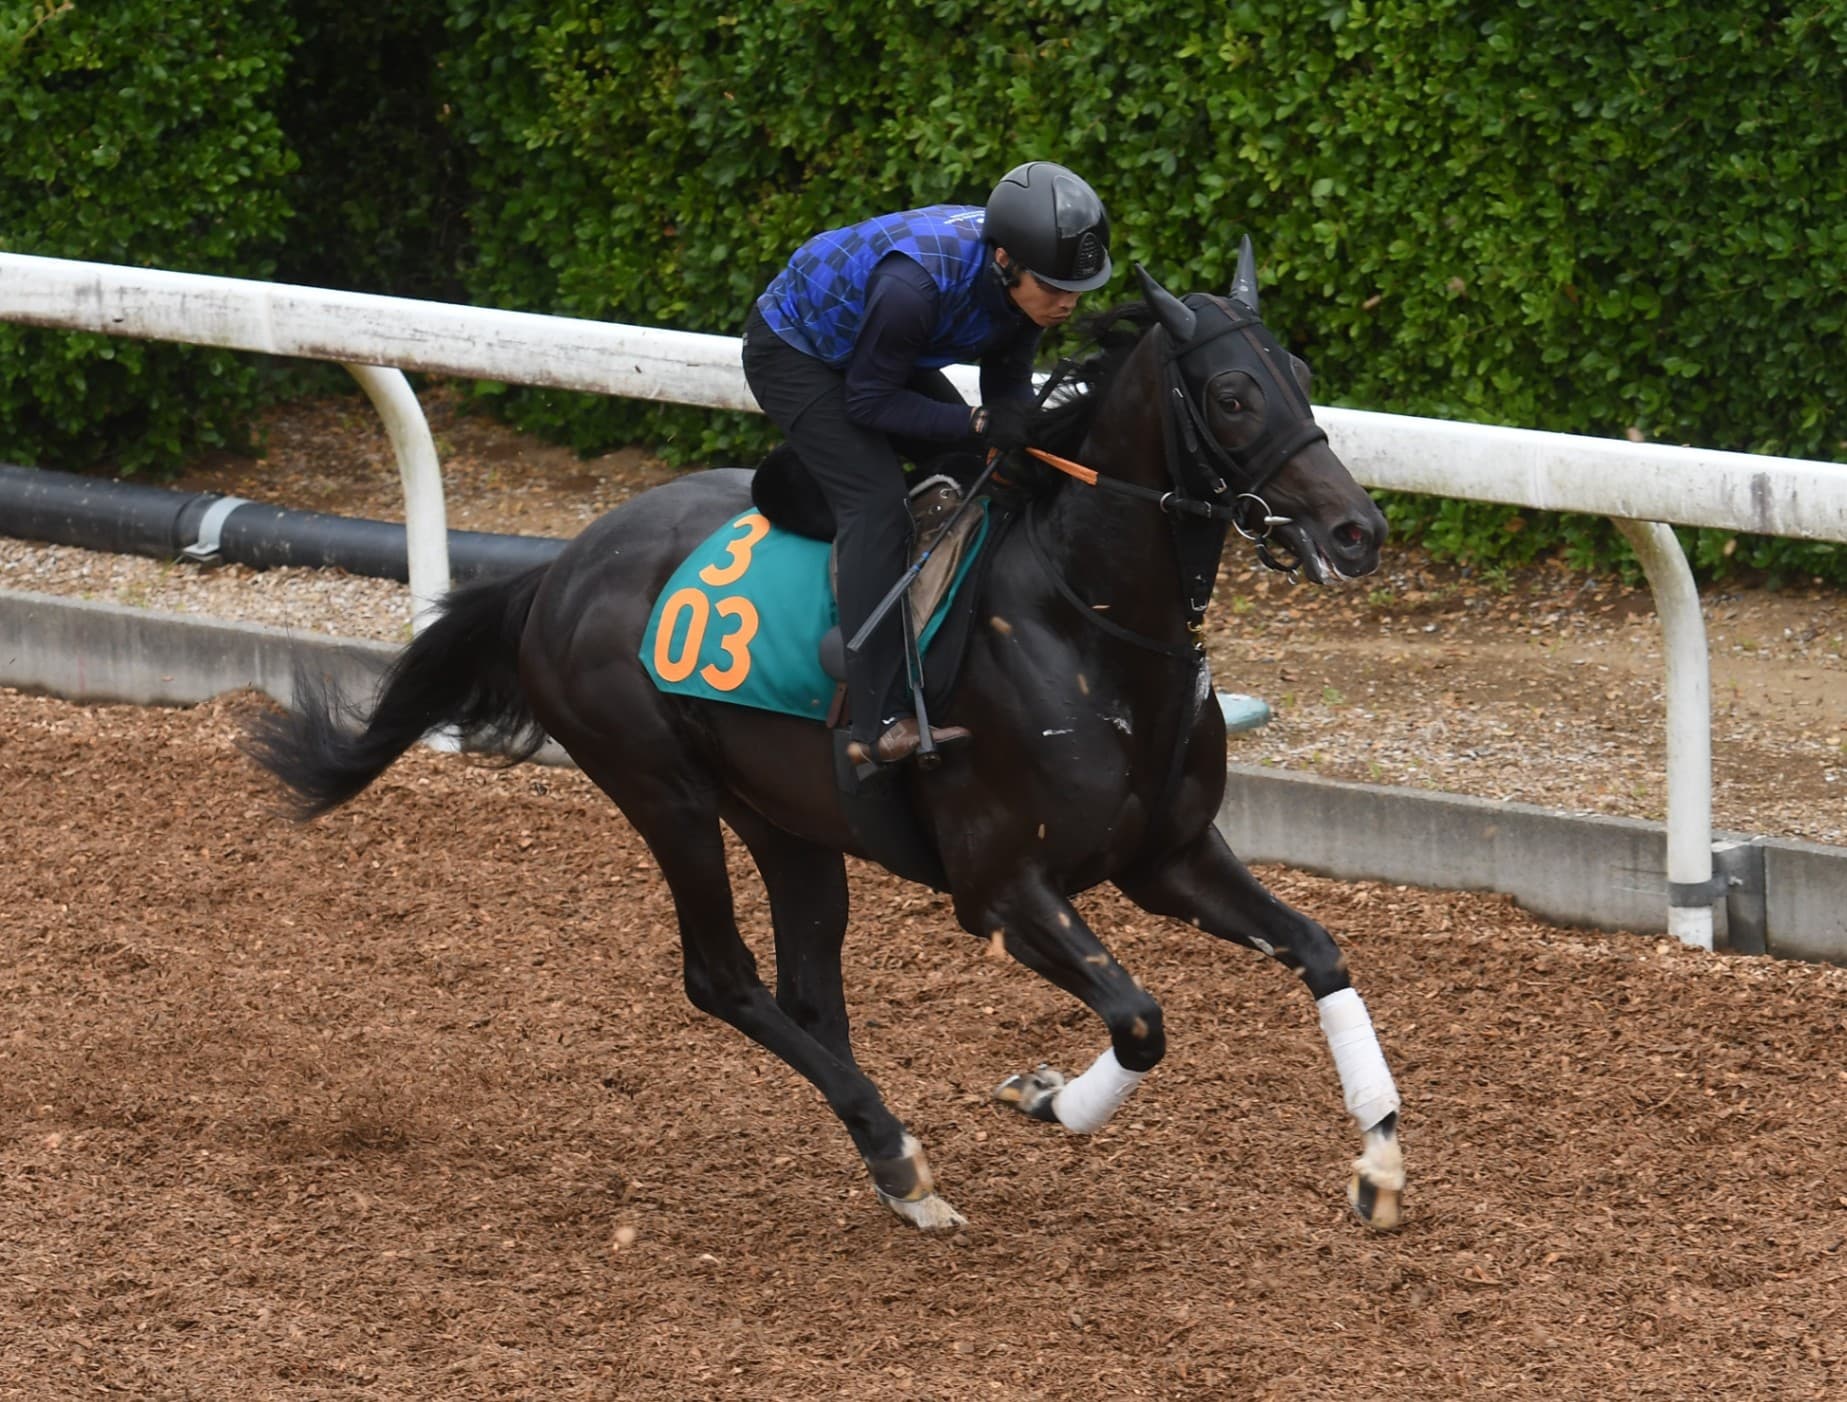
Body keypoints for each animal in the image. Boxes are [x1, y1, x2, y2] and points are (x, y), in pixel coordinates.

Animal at [243, 242, 1406, 1233]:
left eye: (1301, 372)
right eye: (1230, 394)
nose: (1356, 530)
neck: (1086, 623)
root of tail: (556, 568)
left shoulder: (1166, 857)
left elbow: (1316, 948)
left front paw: (1379, 1160)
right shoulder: (1002, 888)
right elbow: (1140, 1018)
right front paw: (1045, 1098)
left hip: (788, 819)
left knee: (808, 983)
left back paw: (889, 1166)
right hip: (661, 791)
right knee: (721, 977)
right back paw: (894, 1150)